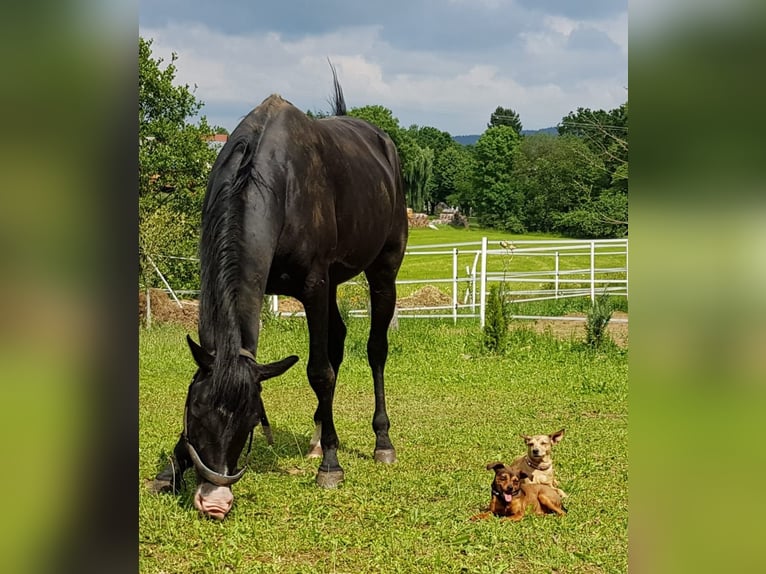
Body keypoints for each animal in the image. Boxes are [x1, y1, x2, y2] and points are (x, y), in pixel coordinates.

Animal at [152, 74, 412, 520]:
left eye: (251, 418)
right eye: (195, 409)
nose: (214, 502)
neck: (273, 181)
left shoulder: (314, 285)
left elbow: (319, 372)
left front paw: (332, 467)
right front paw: (171, 469)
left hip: (383, 270)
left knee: (375, 350)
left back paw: (381, 442)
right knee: (338, 341)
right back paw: (318, 438)